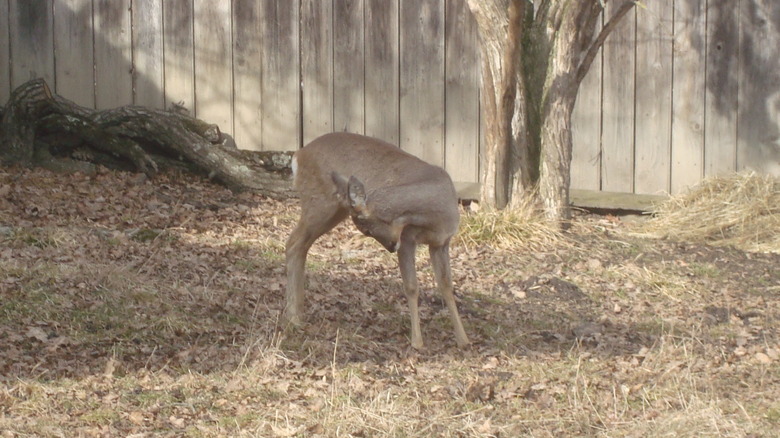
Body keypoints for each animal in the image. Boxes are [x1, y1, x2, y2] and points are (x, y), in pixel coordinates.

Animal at [284, 131, 470, 350]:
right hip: (319, 204)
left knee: (300, 246)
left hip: (334, 209)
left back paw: (298, 313)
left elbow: (446, 285)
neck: (436, 215)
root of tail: (298, 155)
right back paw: (293, 317)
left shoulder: (442, 242)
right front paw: (417, 342)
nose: (391, 246)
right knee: (293, 243)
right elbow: (411, 286)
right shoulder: (407, 239)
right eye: (366, 231)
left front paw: (463, 340)